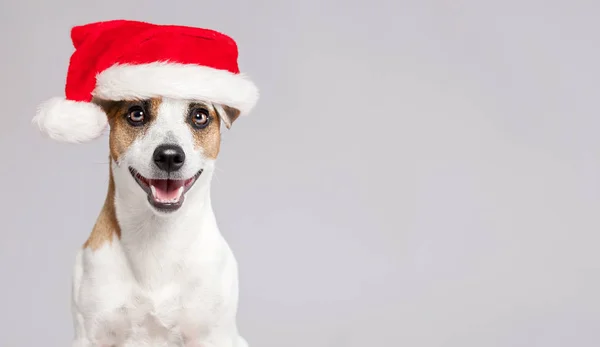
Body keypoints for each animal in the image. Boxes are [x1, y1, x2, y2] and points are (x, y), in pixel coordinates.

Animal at [31, 19, 258, 347]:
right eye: (136, 113)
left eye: (200, 116)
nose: (169, 156)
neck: (157, 238)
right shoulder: (91, 335)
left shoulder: (215, 335)